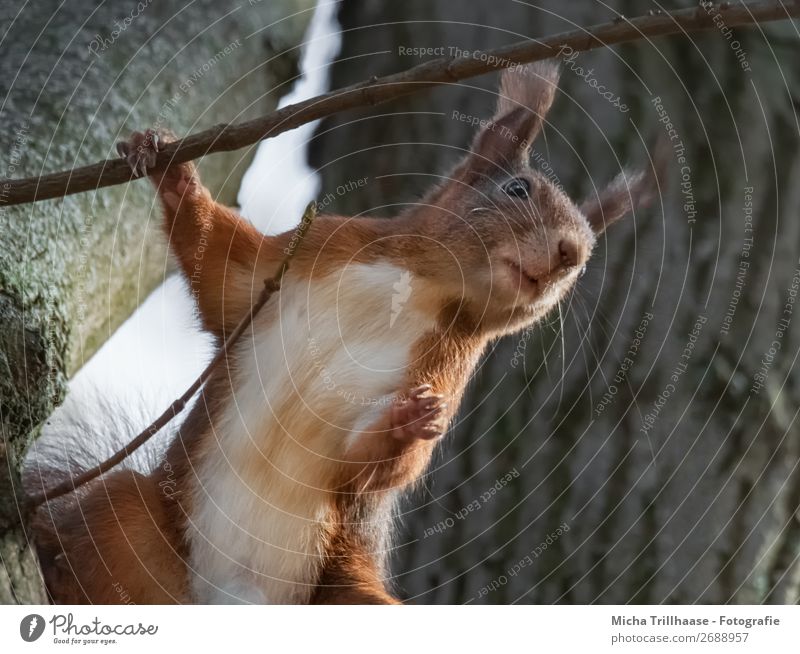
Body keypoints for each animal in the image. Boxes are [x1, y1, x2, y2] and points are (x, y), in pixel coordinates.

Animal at [28, 61, 660, 604]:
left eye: (587, 255)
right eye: (519, 189)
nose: (570, 255)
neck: (419, 287)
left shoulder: (447, 366)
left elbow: (367, 467)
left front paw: (404, 426)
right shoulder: (304, 253)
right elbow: (221, 267)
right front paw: (171, 171)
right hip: (136, 524)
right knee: (109, 524)